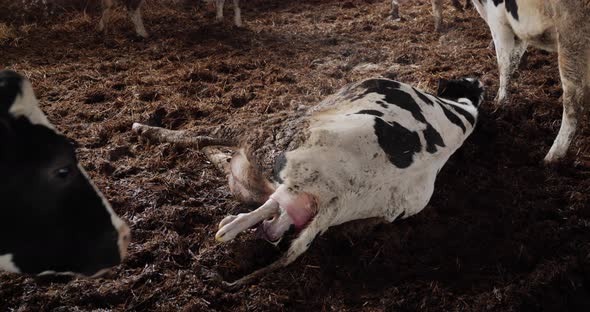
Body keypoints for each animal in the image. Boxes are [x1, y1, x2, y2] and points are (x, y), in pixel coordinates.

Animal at [472, 0, 590, 163]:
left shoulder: (498, 22)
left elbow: (504, 64)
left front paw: (500, 101)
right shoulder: (519, 29)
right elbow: (514, 60)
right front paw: (500, 100)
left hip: (572, 34)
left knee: (574, 103)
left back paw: (551, 158)